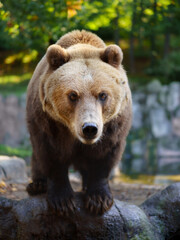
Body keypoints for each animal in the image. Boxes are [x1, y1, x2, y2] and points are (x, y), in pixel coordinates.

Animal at [26, 29, 131, 216]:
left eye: (103, 94)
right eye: (73, 95)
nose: (89, 128)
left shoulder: (113, 126)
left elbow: (104, 157)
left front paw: (98, 199)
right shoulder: (48, 123)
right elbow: (50, 154)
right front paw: (63, 201)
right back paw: (37, 185)